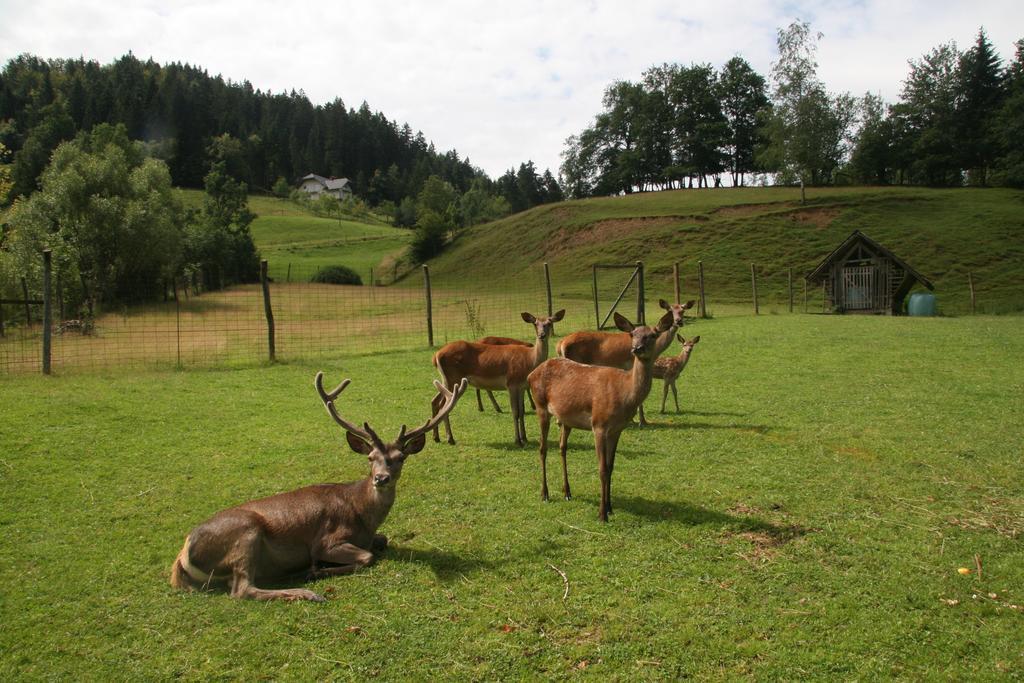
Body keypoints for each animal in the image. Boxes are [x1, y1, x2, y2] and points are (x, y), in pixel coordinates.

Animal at [171, 374, 468, 602]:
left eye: (400, 458)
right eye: (370, 458)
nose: (381, 478)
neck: (362, 514)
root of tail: (182, 557)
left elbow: (382, 541)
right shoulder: (326, 540)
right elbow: (368, 556)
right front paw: (317, 569)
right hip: (246, 534)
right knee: (242, 589)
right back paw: (308, 591)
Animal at [428, 309, 565, 448]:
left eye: (549, 323)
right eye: (535, 323)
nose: (542, 335)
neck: (529, 361)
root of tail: (436, 355)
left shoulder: (521, 386)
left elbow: (522, 412)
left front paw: (525, 438)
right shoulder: (511, 383)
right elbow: (515, 412)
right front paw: (518, 440)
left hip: (447, 379)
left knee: (435, 401)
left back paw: (436, 437)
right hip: (453, 378)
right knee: (445, 404)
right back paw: (450, 438)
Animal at [532, 311, 675, 524]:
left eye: (653, 335)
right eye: (632, 334)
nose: (637, 348)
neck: (624, 394)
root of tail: (532, 373)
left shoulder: (617, 429)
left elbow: (610, 466)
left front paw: (610, 507)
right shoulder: (598, 425)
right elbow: (601, 469)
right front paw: (602, 514)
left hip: (566, 418)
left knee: (562, 447)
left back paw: (567, 492)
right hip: (541, 407)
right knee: (542, 448)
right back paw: (545, 494)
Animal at [557, 301, 700, 428]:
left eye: (682, 310)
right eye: (670, 310)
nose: (679, 321)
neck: (658, 349)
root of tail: (561, 344)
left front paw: (634, 419)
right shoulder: (630, 365)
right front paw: (641, 421)